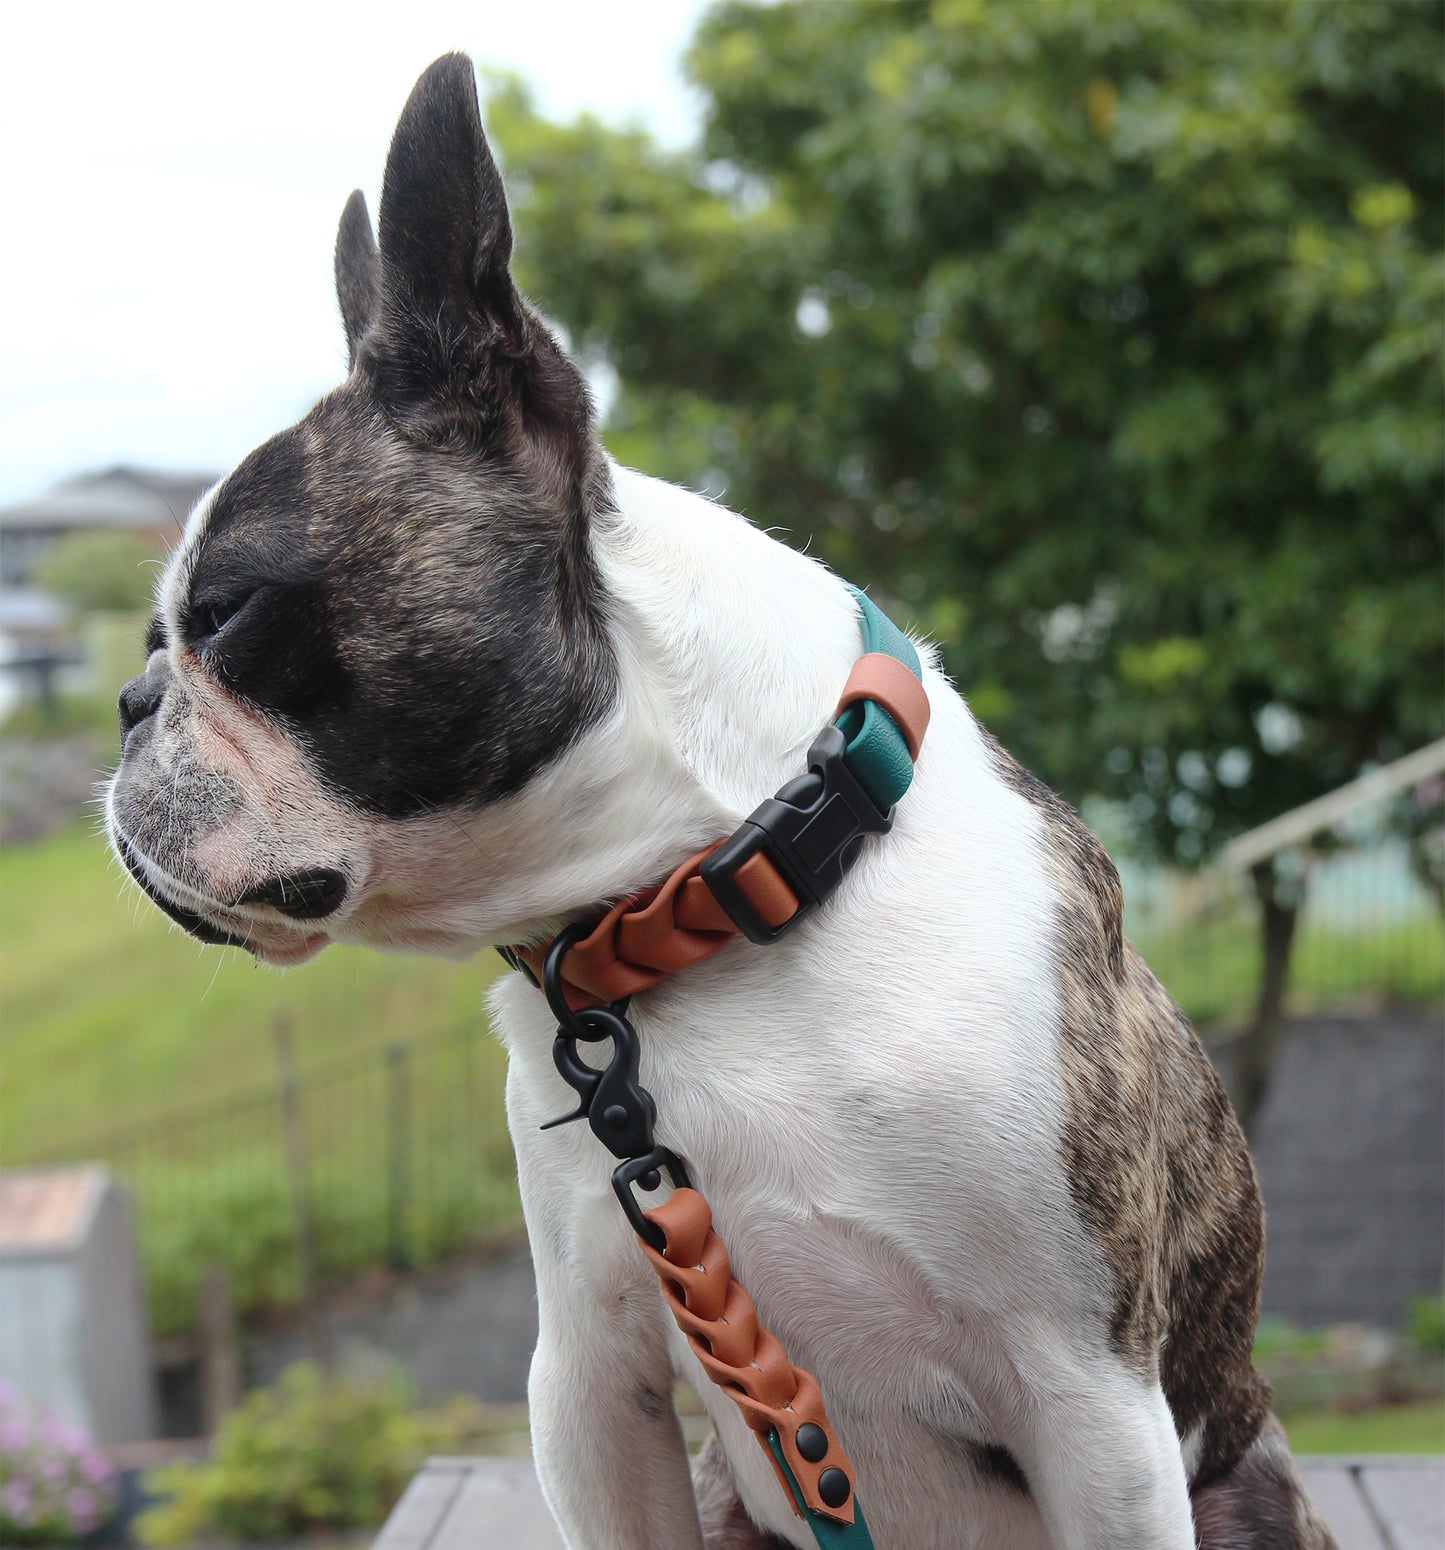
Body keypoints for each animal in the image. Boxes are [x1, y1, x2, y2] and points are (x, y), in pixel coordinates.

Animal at [106, 51, 1339, 1550]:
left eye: (229, 615)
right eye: (161, 638)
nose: (127, 700)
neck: (719, 890)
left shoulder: (1091, 1401)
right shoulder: (594, 1378)